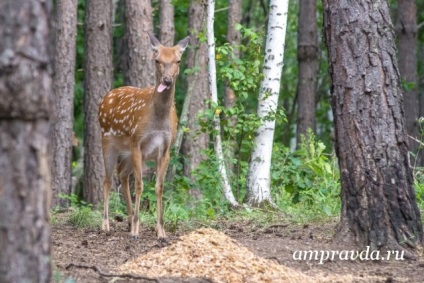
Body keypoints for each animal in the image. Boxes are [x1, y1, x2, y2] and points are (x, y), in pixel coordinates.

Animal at [98, 31, 188, 240]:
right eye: (157, 60)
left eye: (178, 60)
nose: (167, 81)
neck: (158, 121)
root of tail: (105, 98)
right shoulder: (137, 142)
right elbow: (139, 185)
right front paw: (137, 231)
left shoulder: (165, 149)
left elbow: (159, 187)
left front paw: (161, 231)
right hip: (108, 141)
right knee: (107, 181)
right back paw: (106, 225)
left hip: (127, 152)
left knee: (122, 175)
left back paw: (129, 220)